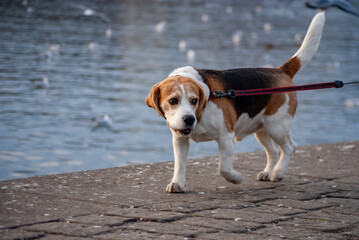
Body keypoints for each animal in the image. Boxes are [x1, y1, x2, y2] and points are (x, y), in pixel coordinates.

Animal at [146, 12, 326, 193]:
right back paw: (268, 172)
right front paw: (177, 183)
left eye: (194, 100)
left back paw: (278, 172)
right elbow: (179, 164)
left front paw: (236, 178)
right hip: (261, 129)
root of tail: (280, 71)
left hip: (277, 126)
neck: (204, 108)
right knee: (274, 151)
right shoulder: (179, 140)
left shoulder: (226, 136)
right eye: (173, 101)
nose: (189, 119)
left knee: (289, 147)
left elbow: (224, 168)